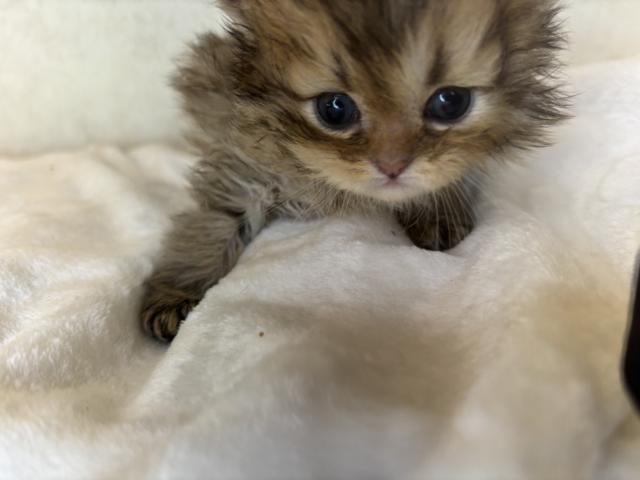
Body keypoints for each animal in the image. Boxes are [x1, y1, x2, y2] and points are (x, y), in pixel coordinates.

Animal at [141, 0, 567, 342]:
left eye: (450, 102)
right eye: (334, 108)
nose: (392, 165)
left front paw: (436, 211)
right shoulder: (242, 168)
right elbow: (208, 228)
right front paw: (176, 293)